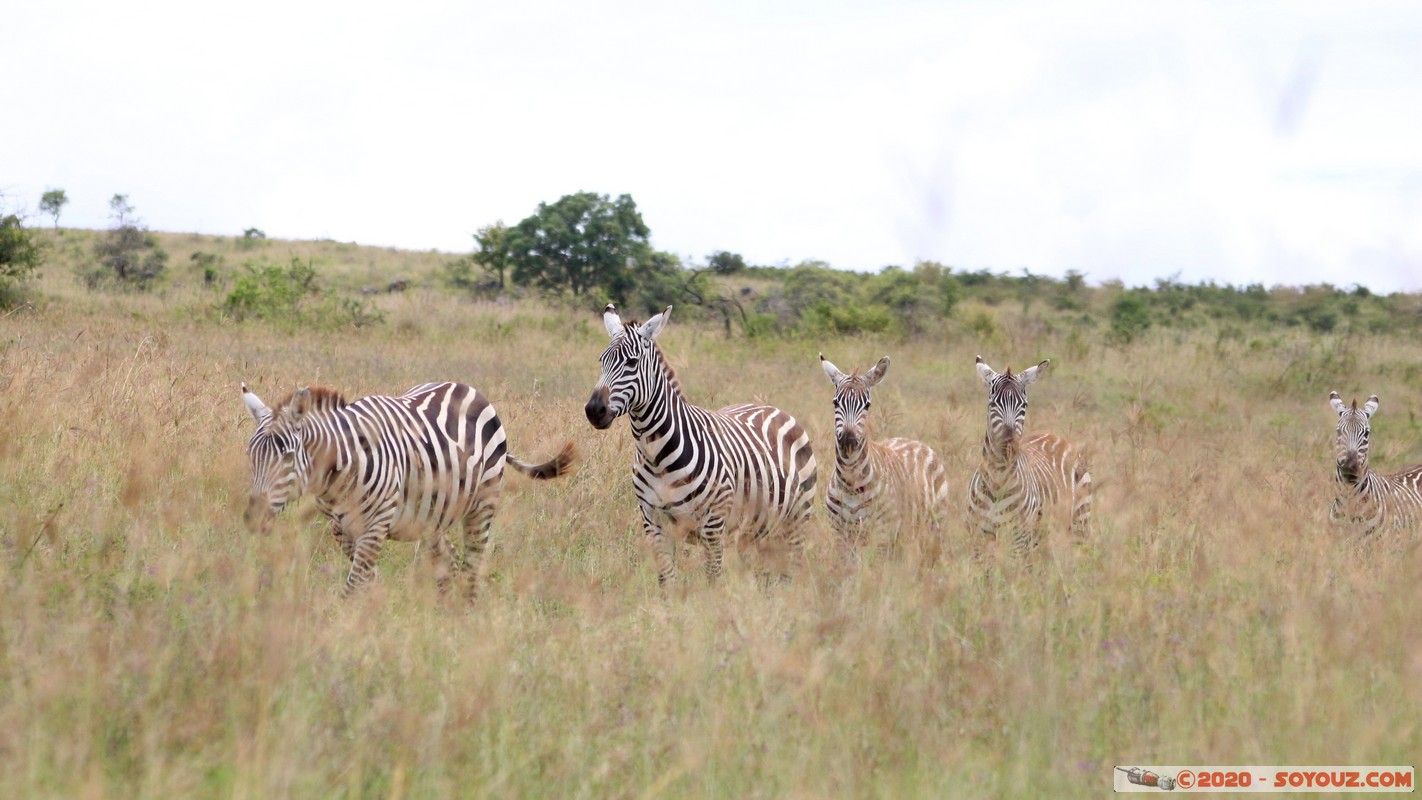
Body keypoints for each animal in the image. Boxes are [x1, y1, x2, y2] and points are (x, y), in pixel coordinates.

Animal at [241, 380, 575, 600]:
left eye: (287, 456)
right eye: (250, 455)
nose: (253, 519)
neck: (338, 475)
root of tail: (465, 387)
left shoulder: (376, 524)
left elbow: (354, 584)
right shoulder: (340, 527)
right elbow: (366, 578)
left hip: (483, 504)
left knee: (472, 565)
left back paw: (463, 617)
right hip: (433, 514)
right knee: (449, 561)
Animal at [584, 304, 817, 585]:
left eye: (632, 362)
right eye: (601, 361)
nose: (594, 410)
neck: (656, 457)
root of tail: (771, 407)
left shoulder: (713, 524)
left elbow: (712, 579)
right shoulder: (653, 521)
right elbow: (667, 580)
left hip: (797, 519)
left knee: (790, 570)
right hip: (755, 526)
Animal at [819, 353, 949, 546]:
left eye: (867, 405)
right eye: (835, 403)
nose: (848, 441)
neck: (850, 482)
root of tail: (915, 441)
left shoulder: (880, 534)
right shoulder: (840, 533)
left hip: (935, 524)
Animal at [966, 356, 1091, 553]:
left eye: (1024, 405)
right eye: (992, 403)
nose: (1009, 446)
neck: (998, 481)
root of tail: (1054, 435)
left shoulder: (1019, 540)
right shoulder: (978, 537)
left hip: (1080, 522)